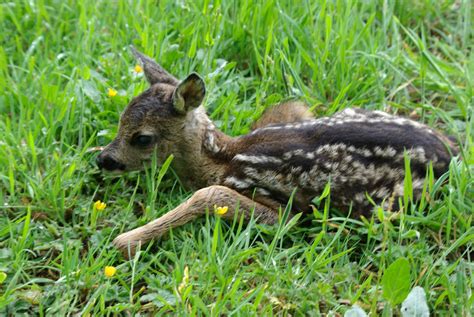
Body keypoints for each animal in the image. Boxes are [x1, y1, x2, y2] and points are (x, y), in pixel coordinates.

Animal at [95, 47, 456, 254]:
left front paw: (127, 241)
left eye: (142, 138)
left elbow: (210, 195)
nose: (102, 159)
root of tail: (450, 155)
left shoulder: (282, 209)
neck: (222, 157)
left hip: (389, 205)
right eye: (120, 121)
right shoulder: (289, 111)